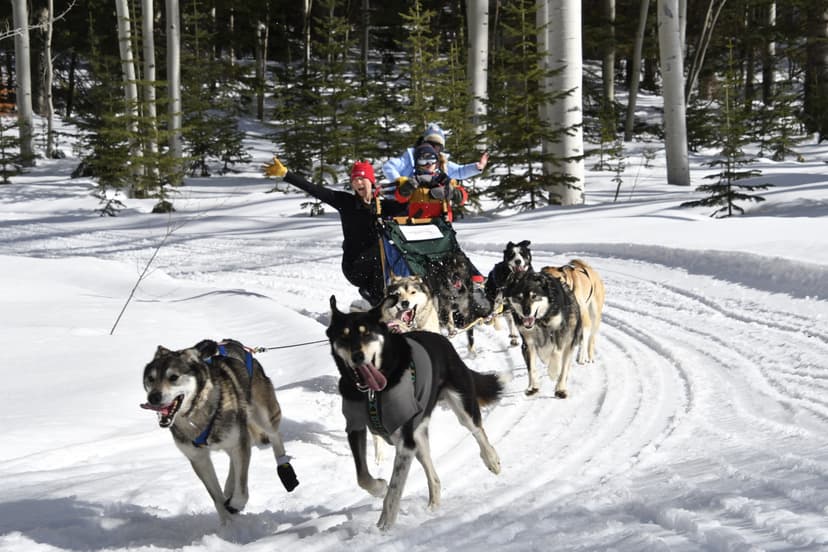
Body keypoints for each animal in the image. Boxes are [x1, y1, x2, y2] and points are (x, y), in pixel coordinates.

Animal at [141, 339, 298, 523]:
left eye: (173, 377)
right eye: (150, 379)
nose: (153, 397)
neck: (197, 413)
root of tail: (234, 344)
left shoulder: (238, 443)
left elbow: (242, 491)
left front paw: (235, 505)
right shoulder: (199, 459)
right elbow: (216, 496)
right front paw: (228, 523)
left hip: (265, 417)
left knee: (274, 437)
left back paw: (284, 468)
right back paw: (229, 488)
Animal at [327, 295, 504, 530]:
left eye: (366, 333)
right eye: (344, 336)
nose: (357, 356)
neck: (373, 394)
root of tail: (440, 338)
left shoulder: (405, 443)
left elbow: (394, 490)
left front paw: (384, 527)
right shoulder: (356, 428)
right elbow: (362, 476)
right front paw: (379, 487)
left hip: (461, 405)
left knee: (477, 430)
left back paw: (492, 460)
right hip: (419, 438)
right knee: (434, 477)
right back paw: (433, 506)